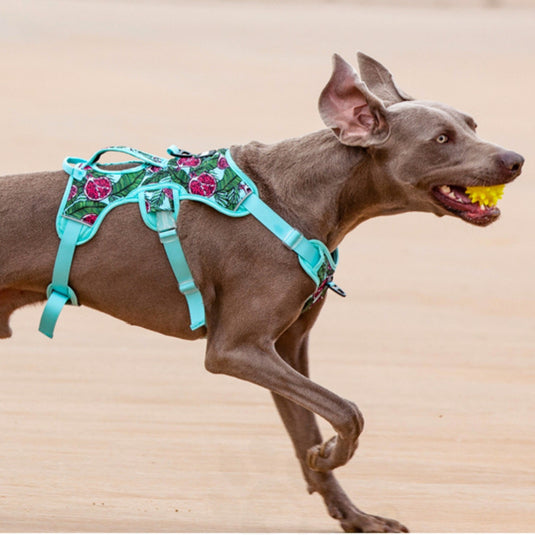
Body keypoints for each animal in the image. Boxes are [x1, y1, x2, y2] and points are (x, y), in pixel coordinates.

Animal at [0, 51, 524, 532]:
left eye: (472, 124)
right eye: (441, 139)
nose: (516, 160)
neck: (308, 197)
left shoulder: (287, 348)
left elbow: (307, 426)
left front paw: (351, 511)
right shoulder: (237, 348)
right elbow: (348, 412)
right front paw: (329, 455)